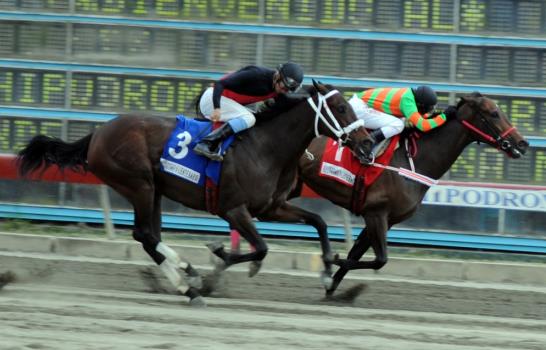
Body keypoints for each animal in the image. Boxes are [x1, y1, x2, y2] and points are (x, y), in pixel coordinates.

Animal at [18, 82, 374, 306]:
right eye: (341, 107)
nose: (368, 143)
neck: (266, 147)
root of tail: (98, 133)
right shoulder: (234, 209)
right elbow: (260, 248)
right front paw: (217, 261)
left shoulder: (270, 207)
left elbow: (318, 222)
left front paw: (327, 274)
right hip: (139, 184)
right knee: (145, 234)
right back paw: (188, 275)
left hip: (153, 190)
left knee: (147, 237)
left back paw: (185, 285)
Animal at [296, 92, 528, 296]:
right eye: (494, 113)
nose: (522, 143)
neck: (412, 161)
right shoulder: (376, 213)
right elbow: (380, 260)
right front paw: (331, 263)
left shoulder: (385, 219)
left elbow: (358, 254)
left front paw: (332, 287)